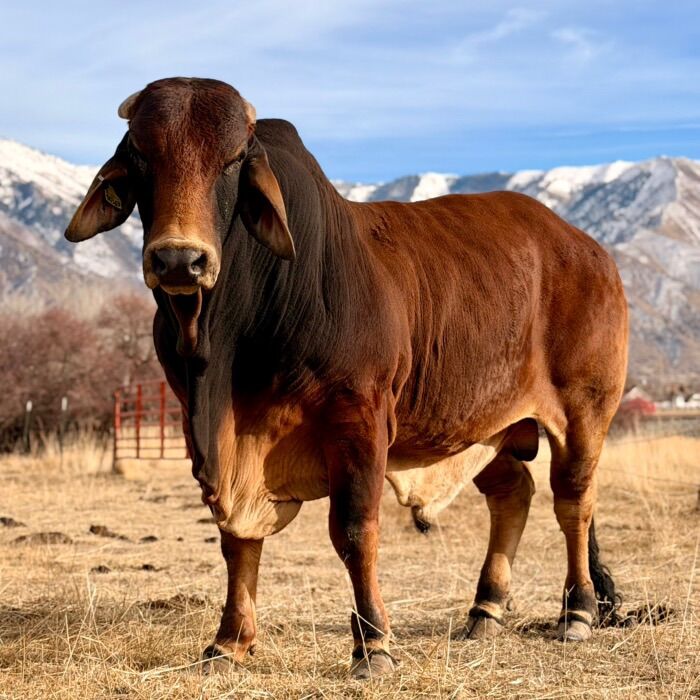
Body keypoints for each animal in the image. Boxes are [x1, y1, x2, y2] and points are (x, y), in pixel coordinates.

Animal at [66, 77, 629, 679]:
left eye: (234, 159)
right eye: (141, 155)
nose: (178, 260)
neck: (227, 337)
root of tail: (588, 249)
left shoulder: (358, 418)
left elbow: (355, 531)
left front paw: (373, 643)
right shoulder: (211, 440)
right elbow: (235, 540)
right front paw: (229, 641)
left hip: (585, 412)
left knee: (573, 502)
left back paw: (577, 611)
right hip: (481, 426)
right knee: (513, 493)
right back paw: (485, 610)